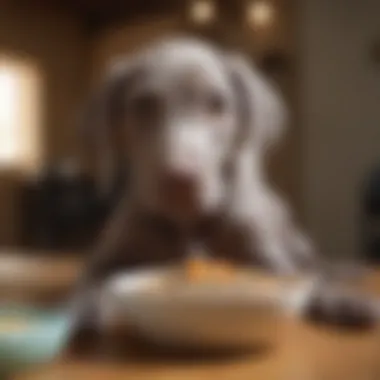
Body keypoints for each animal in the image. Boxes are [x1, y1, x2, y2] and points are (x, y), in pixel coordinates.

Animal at [69, 37, 380, 348]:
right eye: (142, 105)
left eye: (217, 103)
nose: (179, 181)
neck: (190, 225)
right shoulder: (106, 256)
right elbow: (90, 280)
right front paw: (86, 308)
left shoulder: (267, 258)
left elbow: (297, 280)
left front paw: (337, 299)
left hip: (295, 241)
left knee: (316, 267)